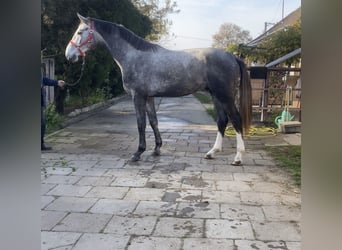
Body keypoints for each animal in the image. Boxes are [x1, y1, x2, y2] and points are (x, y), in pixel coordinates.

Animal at [65, 14, 251, 166]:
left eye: (80, 32)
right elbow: (154, 121)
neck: (134, 56)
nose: (69, 55)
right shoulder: (149, 97)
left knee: (236, 119)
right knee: (222, 120)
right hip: (216, 96)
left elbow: (141, 123)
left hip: (225, 96)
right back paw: (212, 153)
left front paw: (138, 153)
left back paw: (238, 158)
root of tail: (231, 56)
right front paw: (156, 149)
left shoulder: (138, 96)